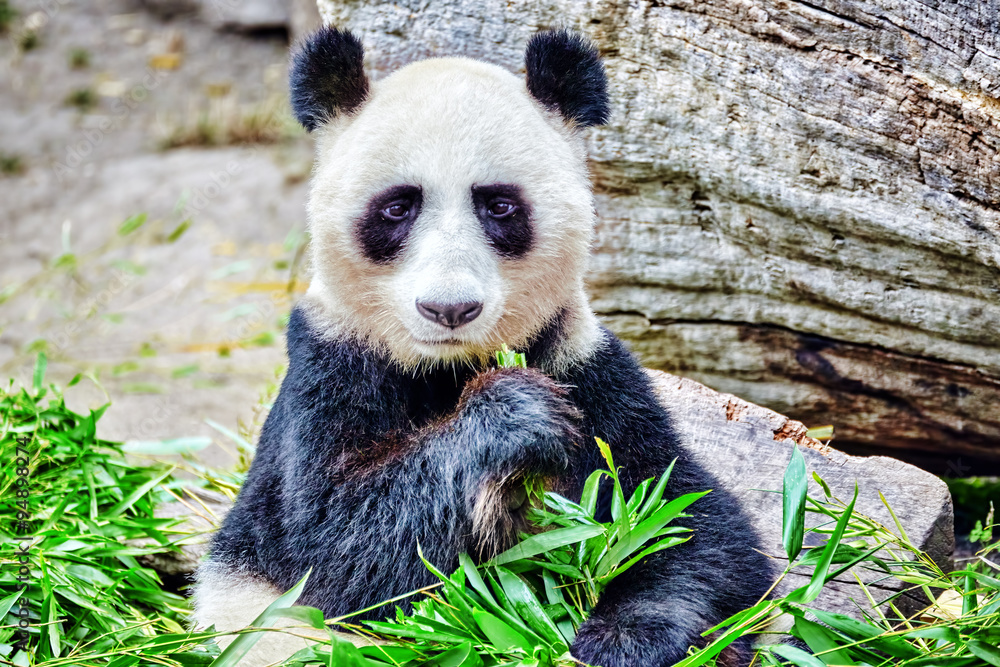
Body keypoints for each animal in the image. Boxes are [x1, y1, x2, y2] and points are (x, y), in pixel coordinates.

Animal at [192, 26, 772, 667]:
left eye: (499, 205)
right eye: (398, 206)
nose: (449, 309)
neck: (446, 369)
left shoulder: (584, 368)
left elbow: (685, 522)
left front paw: (626, 637)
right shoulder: (330, 366)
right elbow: (331, 545)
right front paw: (514, 416)